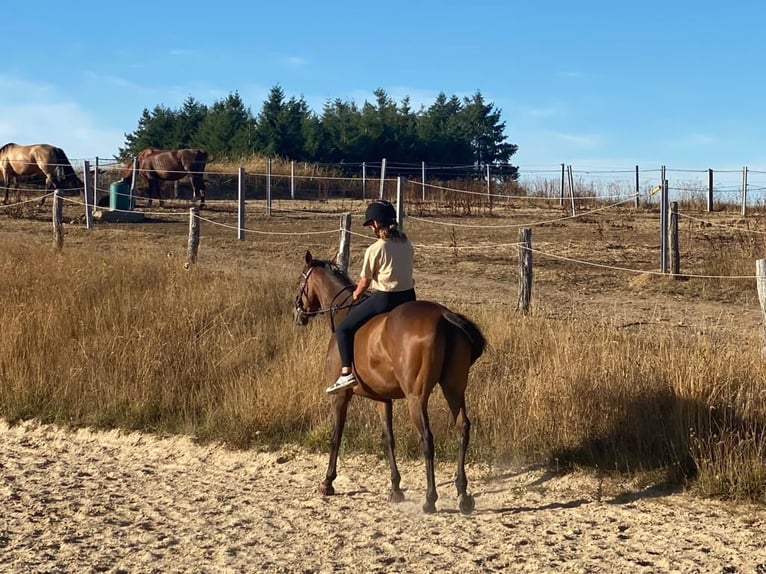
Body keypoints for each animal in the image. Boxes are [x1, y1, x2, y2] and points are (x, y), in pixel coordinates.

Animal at [294, 254, 486, 516]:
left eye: (300, 282)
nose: (298, 313)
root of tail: (443, 316)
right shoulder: (382, 398)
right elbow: (388, 438)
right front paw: (395, 489)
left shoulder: (341, 397)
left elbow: (336, 436)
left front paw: (327, 482)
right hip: (454, 390)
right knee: (462, 429)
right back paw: (463, 495)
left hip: (416, 397)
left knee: (427, 438)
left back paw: (430, 499)